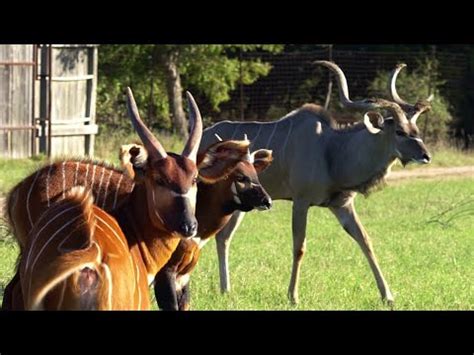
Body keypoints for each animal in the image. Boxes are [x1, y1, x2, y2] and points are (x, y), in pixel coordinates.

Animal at [200, 61, 434, 306]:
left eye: (416, 131)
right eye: (399, 131)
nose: (426, 156)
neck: (332, 149)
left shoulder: (342, 205)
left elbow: (365, 240)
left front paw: (387, 296)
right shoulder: (301, 202)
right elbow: (299, 247)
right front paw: (293, 297)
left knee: (223, 237)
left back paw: (225, 290)